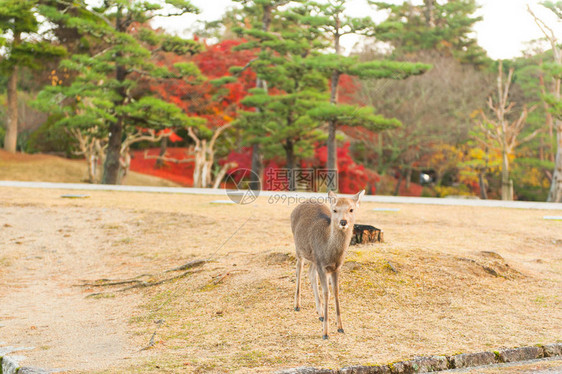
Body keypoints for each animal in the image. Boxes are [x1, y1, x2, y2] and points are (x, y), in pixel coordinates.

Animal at [288, 190, 364, 338]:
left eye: (351, 209)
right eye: (334, 210)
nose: (343, 221)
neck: (330, 254)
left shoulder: (336, 267)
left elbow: (336, 291)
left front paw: (340, 327)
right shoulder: (322, 265)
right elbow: (326, 292)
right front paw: (325, 333)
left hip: (313, 258)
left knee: (311, 274)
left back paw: (320, 313)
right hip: (298, 248)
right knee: (298, 270)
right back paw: (297, 305)